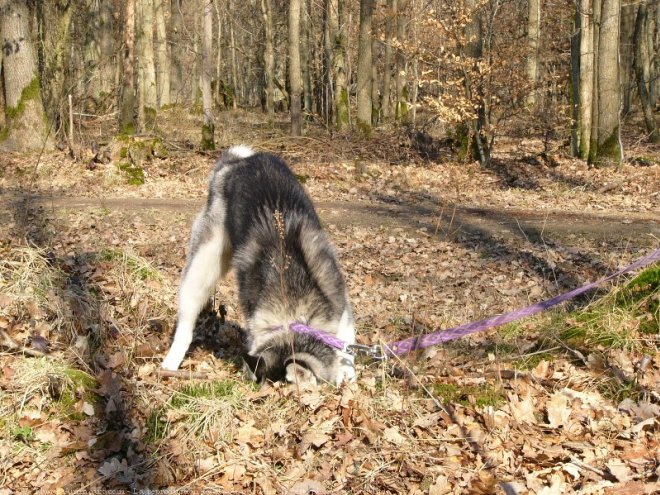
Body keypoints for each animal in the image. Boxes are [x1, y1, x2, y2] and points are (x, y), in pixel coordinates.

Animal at [161, 145, 356, 386]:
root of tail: (237, 162)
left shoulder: (340, 303)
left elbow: (346, 344)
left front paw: (346, 371)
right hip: (202, 267)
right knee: (187, 320)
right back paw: (172, 360)